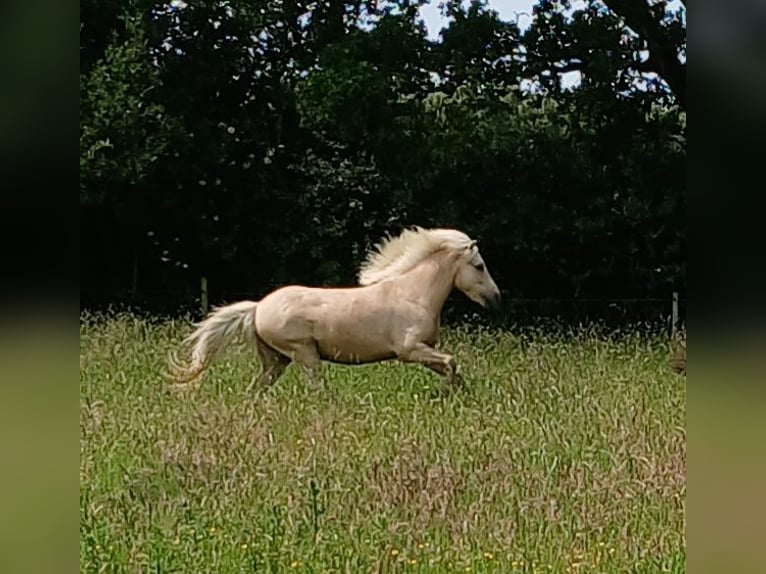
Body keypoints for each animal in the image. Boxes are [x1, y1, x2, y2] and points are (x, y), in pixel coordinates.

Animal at [167, 226, 501, 392]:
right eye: (479, 266)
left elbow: (451, 366)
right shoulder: (410, 350)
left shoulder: (424, 350)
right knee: (317, 389)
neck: (413, 294)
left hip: (276, 361)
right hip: (304, 354)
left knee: (256, 389)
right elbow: (451, 362)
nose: (495, 298)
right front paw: (446, 393)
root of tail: (258, 307)